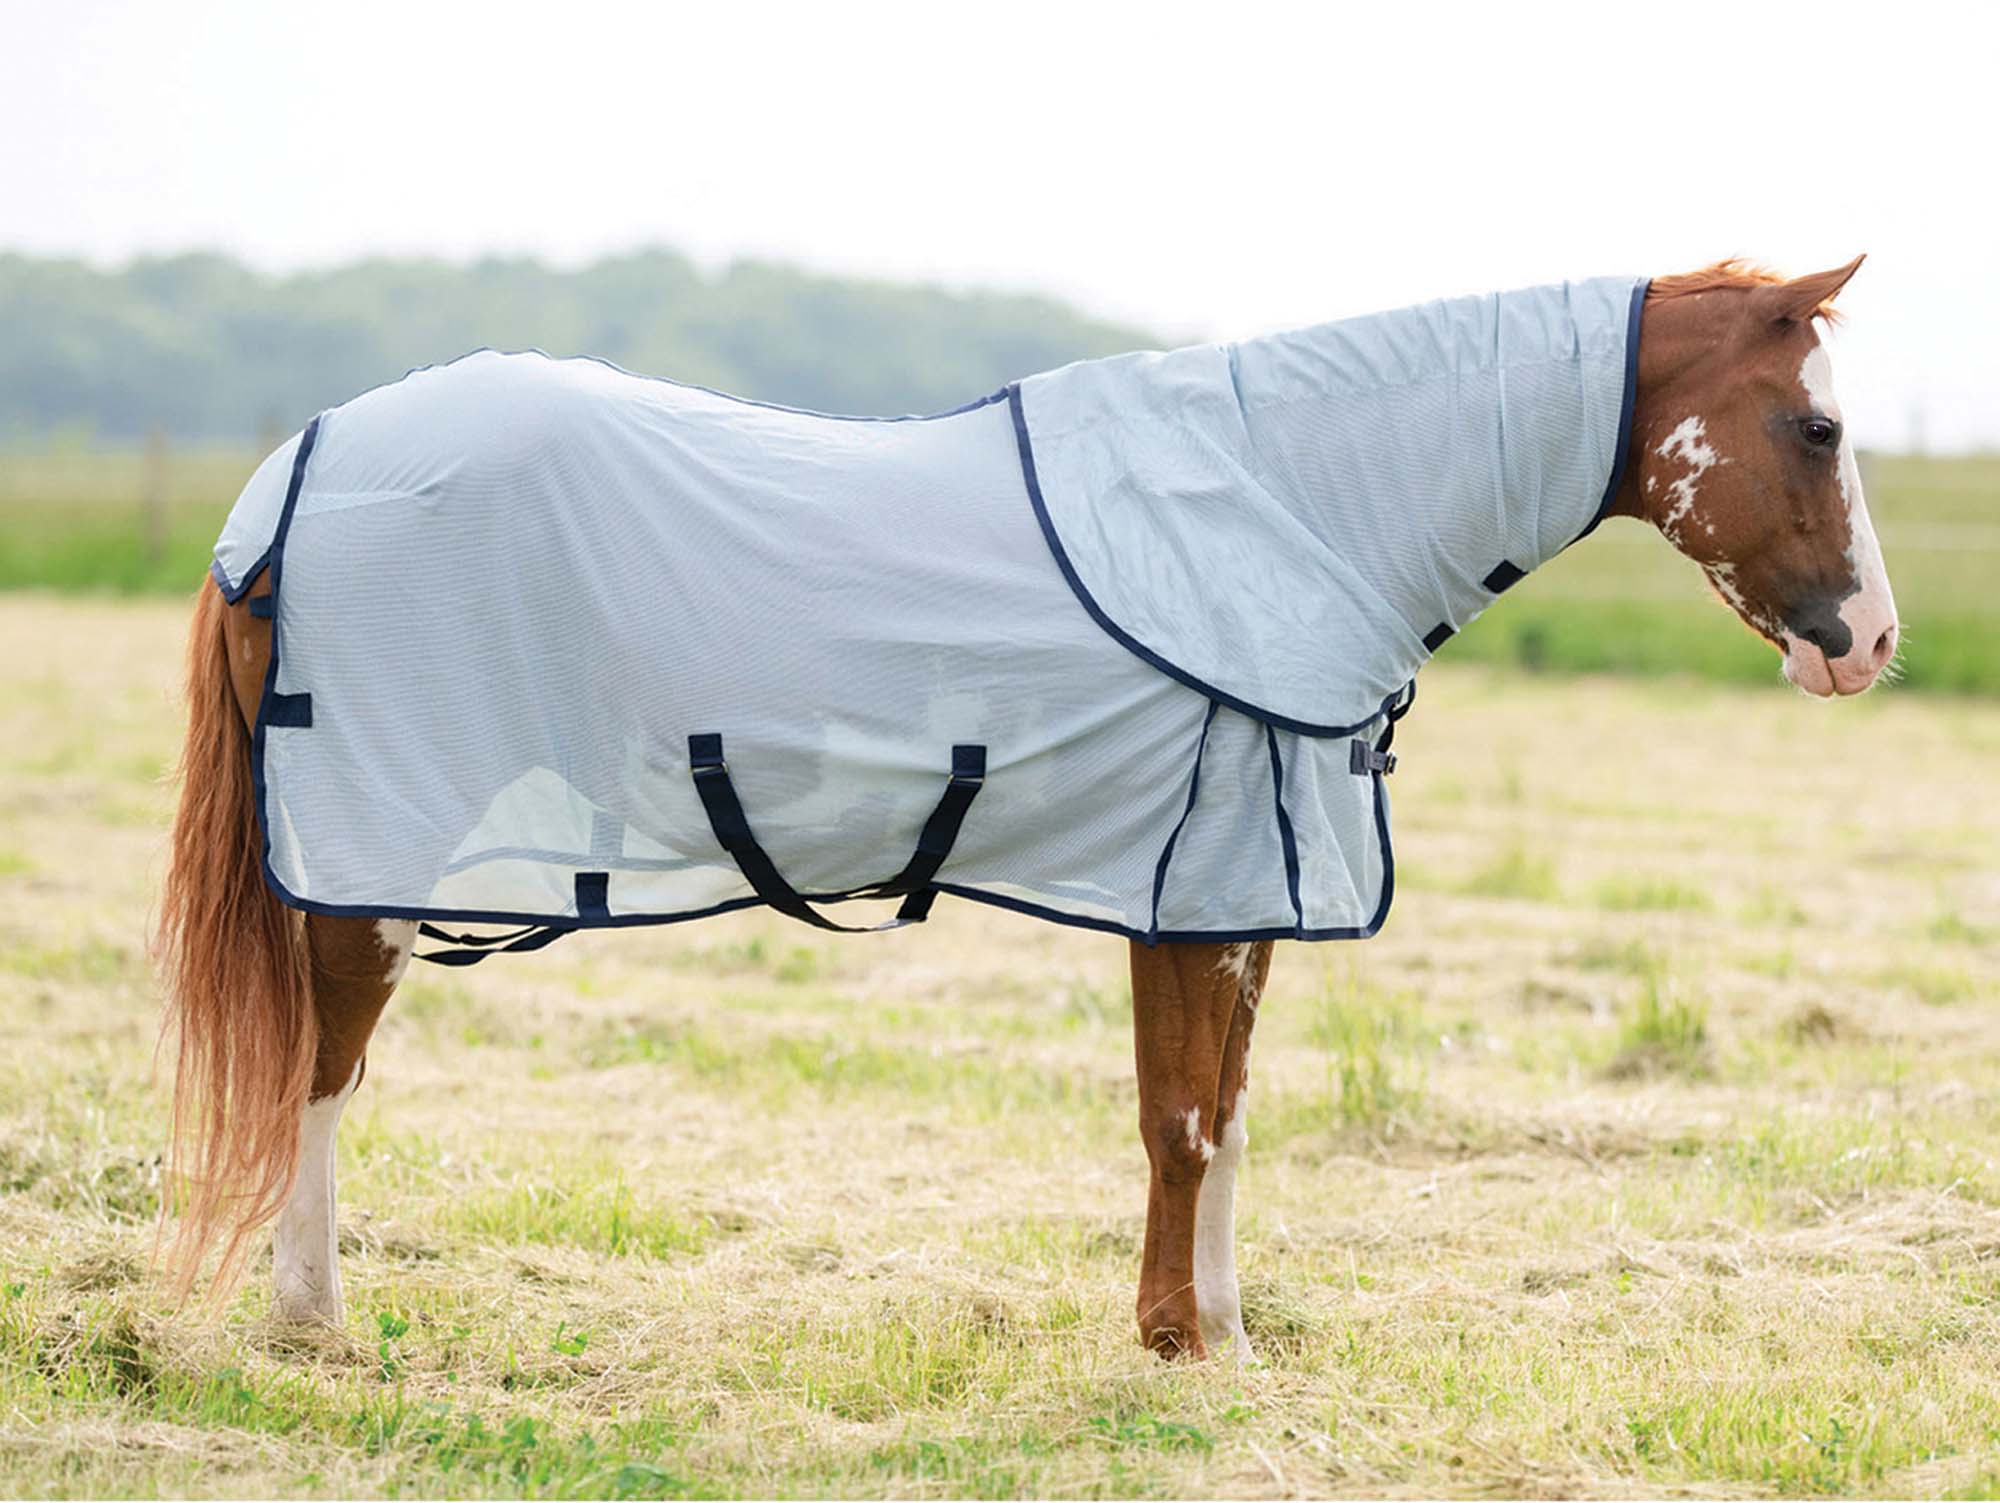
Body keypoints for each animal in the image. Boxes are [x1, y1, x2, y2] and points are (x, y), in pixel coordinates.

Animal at [154, 257, 1896, 1361]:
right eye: (1816, 425)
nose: (1869, 644)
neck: (1288, 504)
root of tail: (286, 479)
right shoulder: (1190, 886)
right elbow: (1179, 1116)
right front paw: (1186, 1345)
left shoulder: (1247, 890)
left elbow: (1230, 1114)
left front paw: (1221, 1330)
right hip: (378, 842)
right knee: (319, 1063)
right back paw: (310, 1319)